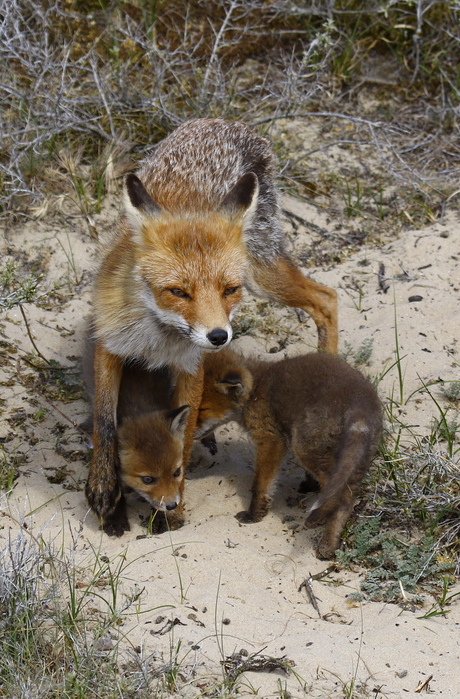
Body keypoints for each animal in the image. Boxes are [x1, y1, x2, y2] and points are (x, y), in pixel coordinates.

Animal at [86, 119, 338, 536]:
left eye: (228, 290)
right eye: (178, 292)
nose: (219, 336)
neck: (159, 340)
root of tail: (225, 123)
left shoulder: (191, 366)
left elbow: (184, 435)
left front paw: (172, 510)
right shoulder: (110, 344)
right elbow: (104, 422)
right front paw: (105, 489)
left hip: (263, 275)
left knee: (327, 299)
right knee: (327, 297)